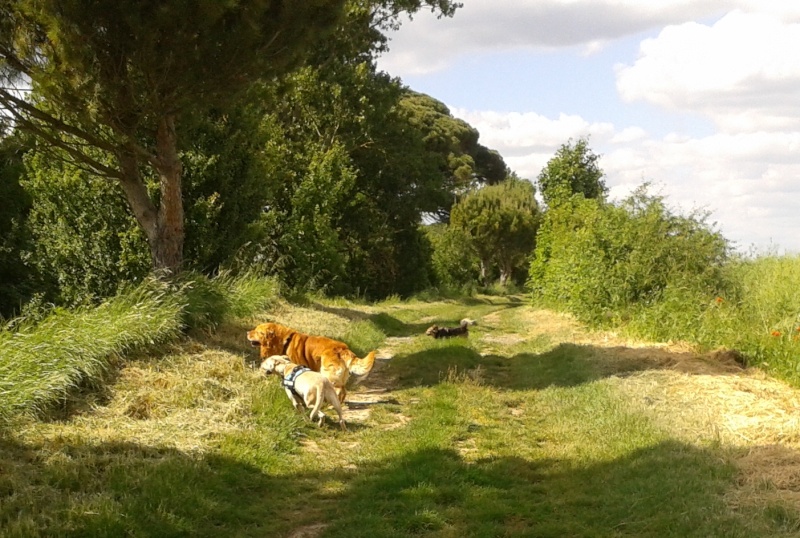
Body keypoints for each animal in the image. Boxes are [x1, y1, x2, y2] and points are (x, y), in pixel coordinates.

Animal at [245, 320, 376, 400]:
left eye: (257, 331)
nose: (247, 332)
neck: (284, 341)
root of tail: (343, 348)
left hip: (329, 374)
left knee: (338, 391)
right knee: (343, 391)